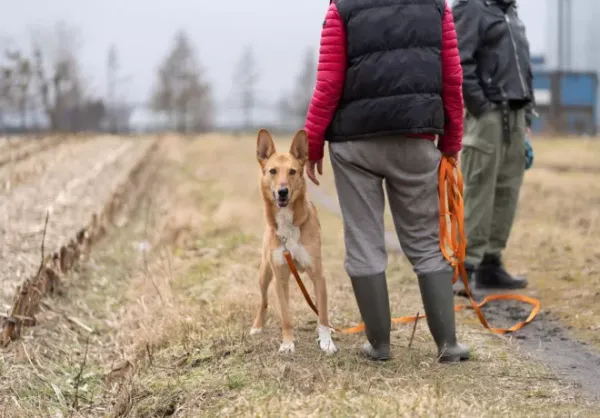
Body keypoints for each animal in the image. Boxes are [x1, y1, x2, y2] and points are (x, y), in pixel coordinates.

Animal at [250, 128, 338, 356]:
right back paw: (257, 326)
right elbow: (286, 316)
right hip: (265, 274)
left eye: (292, 171)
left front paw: (327, 342)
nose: (283, 192)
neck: (287, 224)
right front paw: (288, 343)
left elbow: (322, 314)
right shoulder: (280, 279)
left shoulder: (318, 275)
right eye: (273, 171)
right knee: (263, 302)